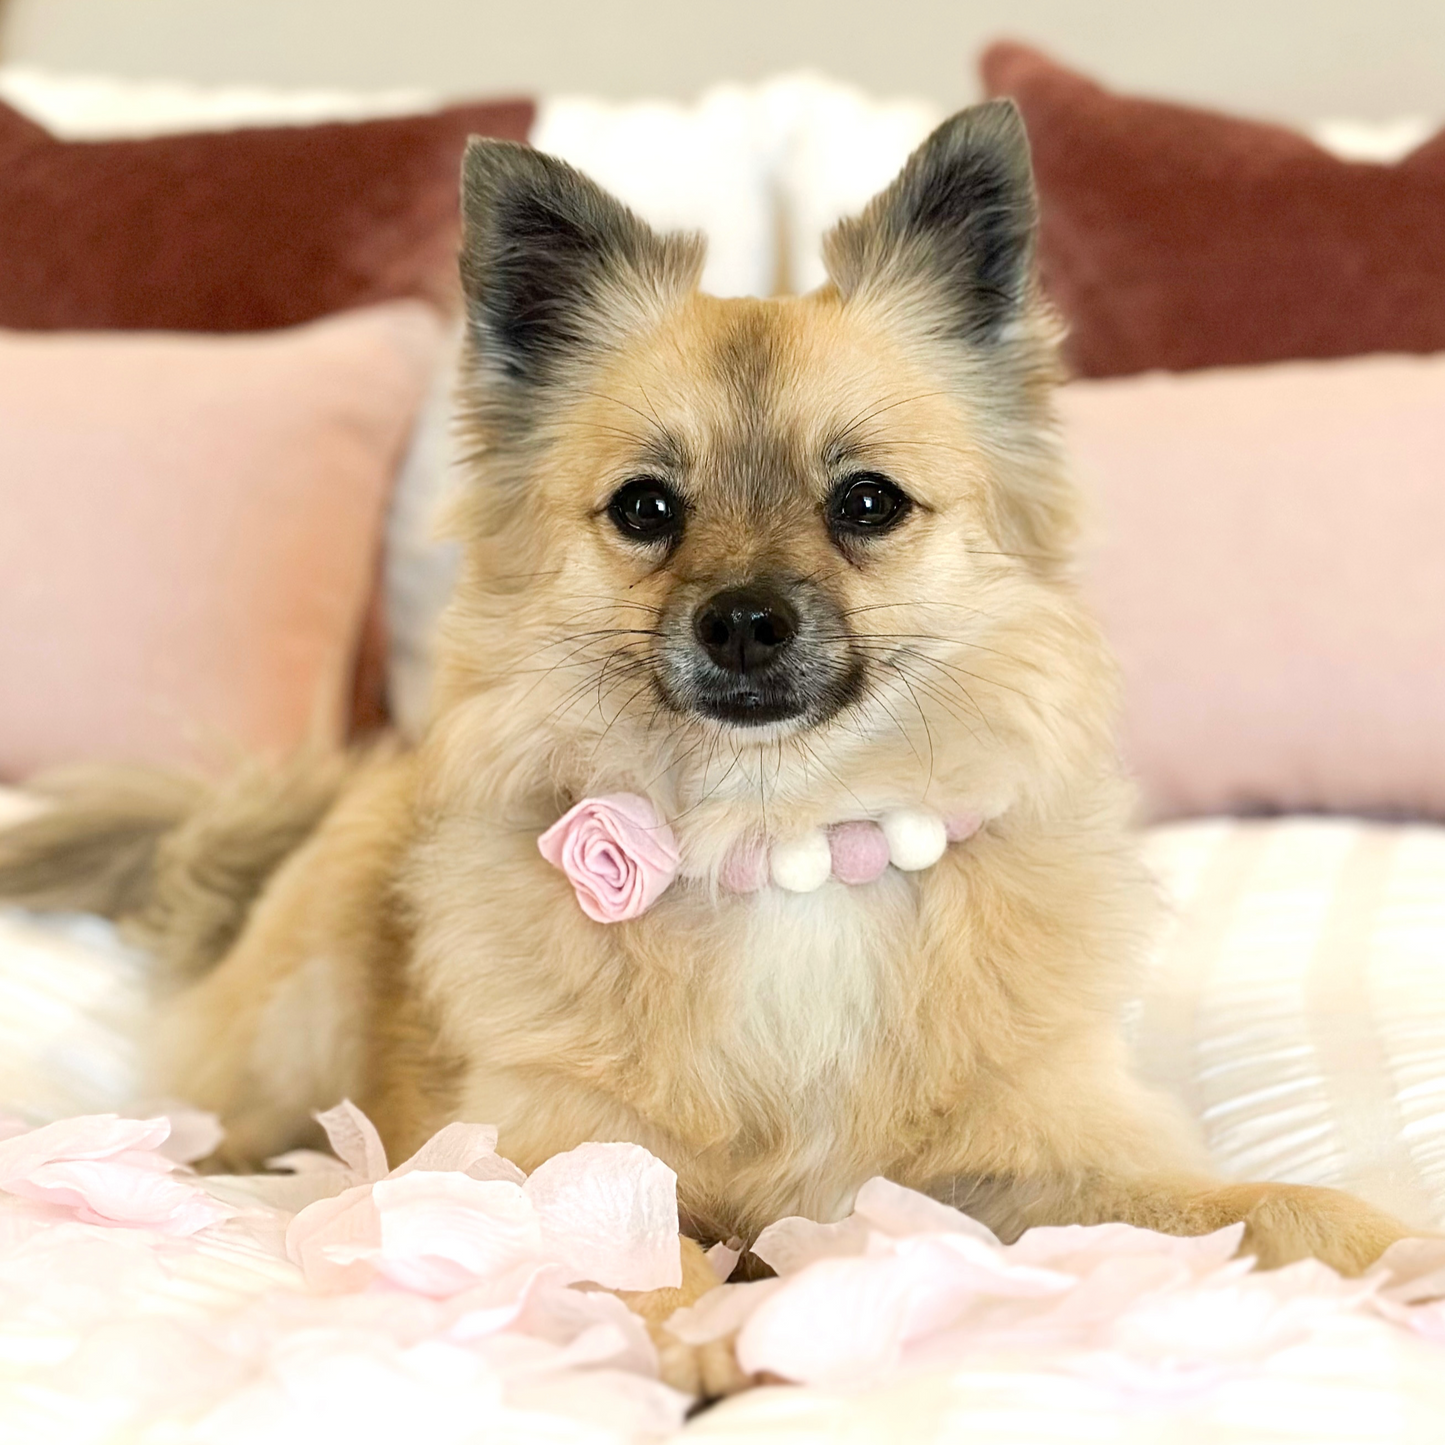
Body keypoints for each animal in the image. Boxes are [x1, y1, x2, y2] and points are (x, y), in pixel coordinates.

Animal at [0, 98, 1410, 1387]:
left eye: (865, 503)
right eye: (644, 509)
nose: (742, 620)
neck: (778, 835)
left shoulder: (1030, 1167)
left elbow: (1244, 1204)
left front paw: (1383, 1244)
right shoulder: (543, 1157)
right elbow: (647, 1240)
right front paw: (714, 1332)